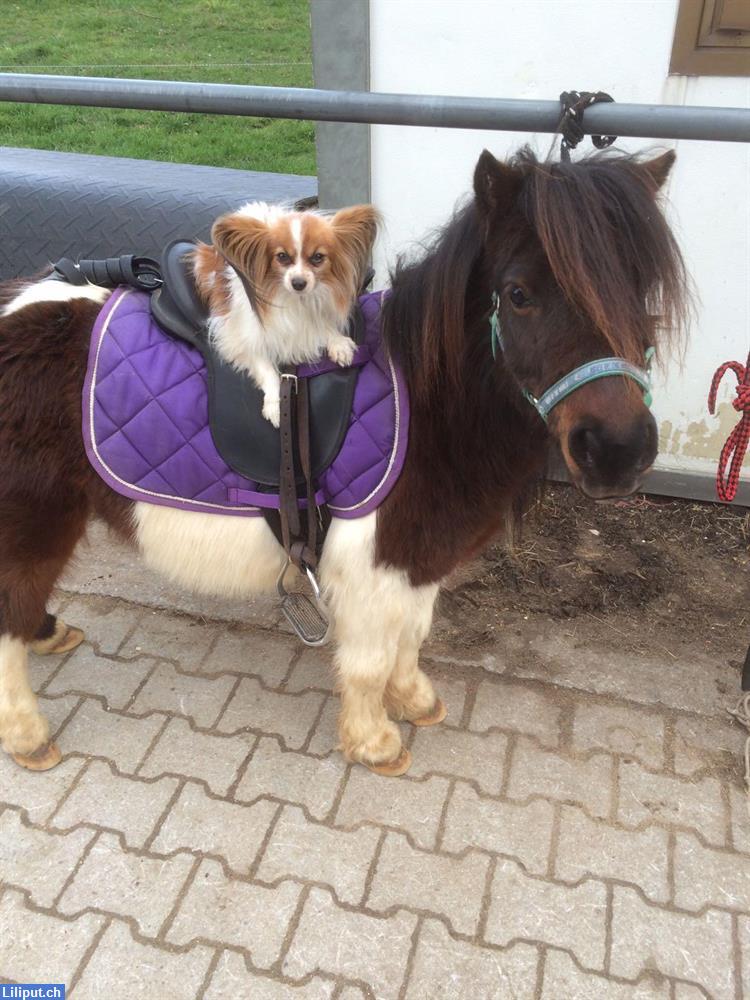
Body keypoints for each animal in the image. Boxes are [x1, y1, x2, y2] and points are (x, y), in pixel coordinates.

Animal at [194, 201, 382, 424]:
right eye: (282, 257)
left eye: (318, 257)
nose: (298, 283)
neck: (295, 301)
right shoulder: (241, 338)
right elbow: (267, 370)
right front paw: (277, 406)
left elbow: (321, 323)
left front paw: (337, 341)